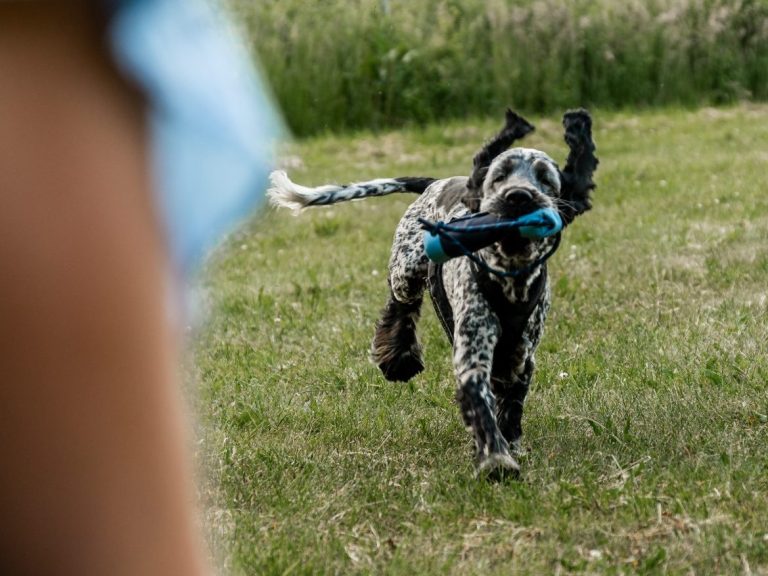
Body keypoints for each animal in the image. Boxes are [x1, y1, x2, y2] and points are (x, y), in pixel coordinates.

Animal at [270, 110, 600, 480]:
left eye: (545, 180)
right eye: (499, 177)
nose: (518, 197)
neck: (509, 276)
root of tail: (436, 181)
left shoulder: (521, 355)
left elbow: (511, 402)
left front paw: (509, 443)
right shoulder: (472, 352)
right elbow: (480, 403)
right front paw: (496, 459)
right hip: (407, 269)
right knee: (400, 303)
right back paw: (398, 357)